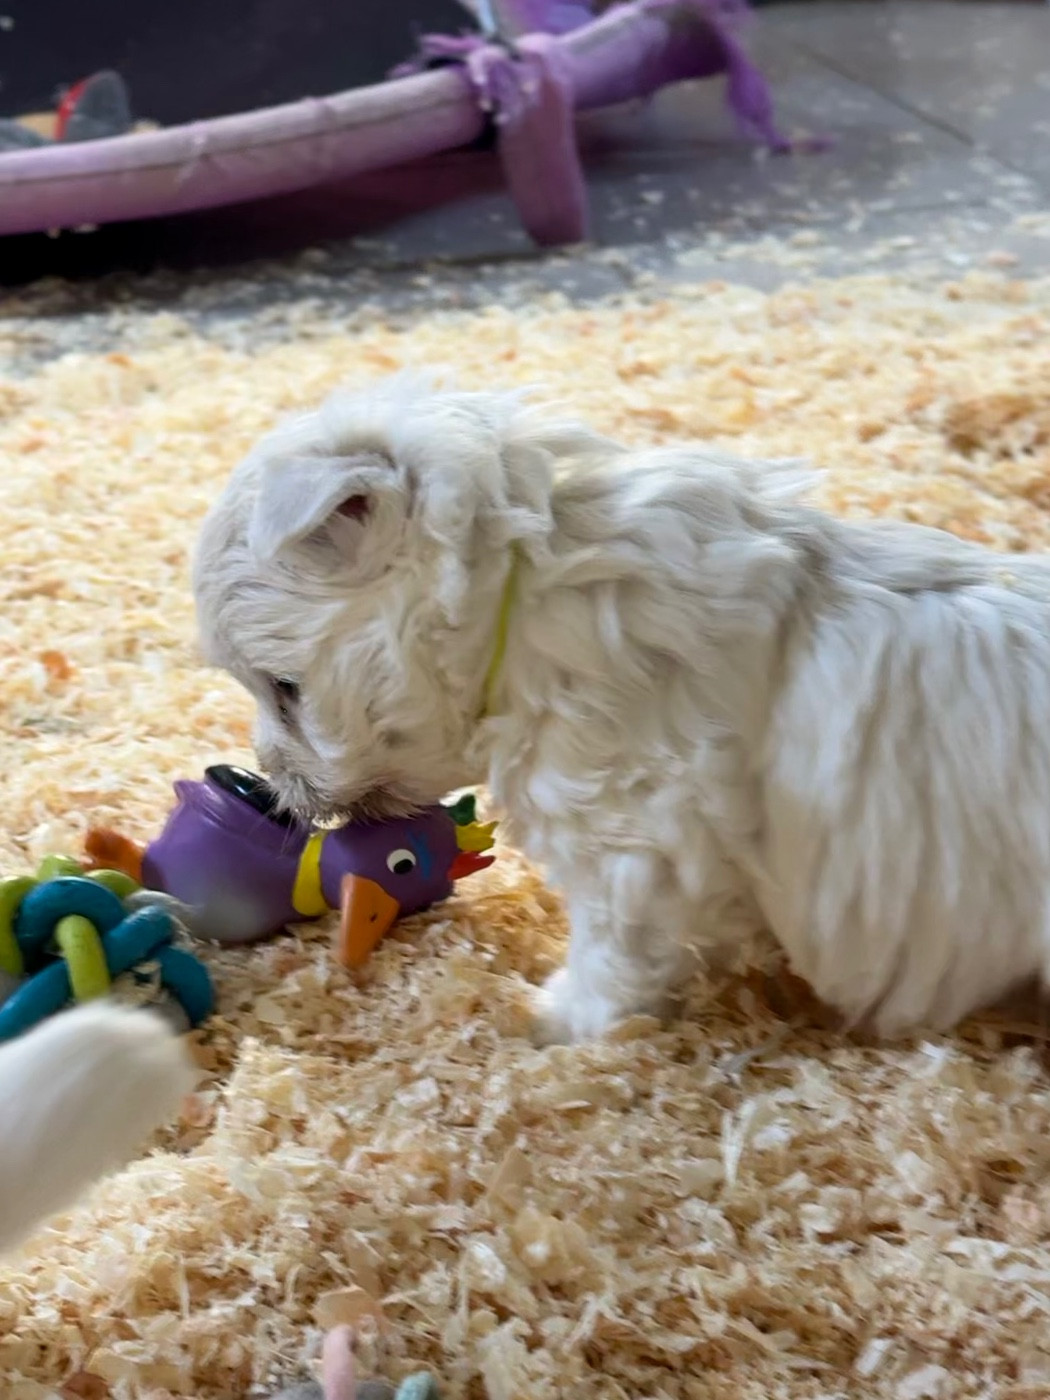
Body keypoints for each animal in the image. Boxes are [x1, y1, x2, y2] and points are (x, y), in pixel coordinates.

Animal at [193, 376, 1050, 1045]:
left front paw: (549, 1020)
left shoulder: (634, 839)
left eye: (283, 688)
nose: (263, 784)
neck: (525, 592)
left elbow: (616, 955)